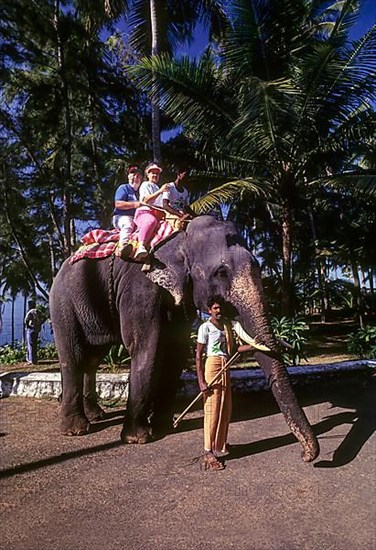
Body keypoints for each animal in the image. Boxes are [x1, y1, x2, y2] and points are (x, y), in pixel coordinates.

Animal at [49, 213, 320, 464]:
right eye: (221, 272)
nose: (306, 456)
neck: (180, 237)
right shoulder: (141, 287)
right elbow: (146, 346)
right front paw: (137, 438)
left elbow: (177, 351)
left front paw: (163, 427)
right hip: (63, 302)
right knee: (74, 357)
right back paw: (76, 430)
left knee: (93, 358)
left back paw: (97, 416)